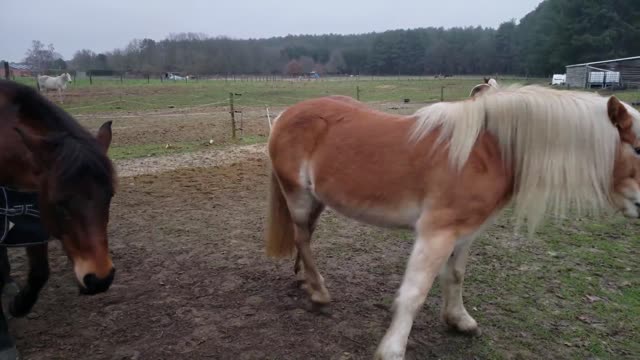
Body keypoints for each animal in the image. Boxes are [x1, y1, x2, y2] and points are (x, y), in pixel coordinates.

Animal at [0, 79, 116, 360]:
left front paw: (18, 305)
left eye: (110, 195)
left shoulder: (31, 215)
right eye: (59, 202)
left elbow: (40, 272)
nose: (99, 279)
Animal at [264, 86, 640, 358]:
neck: (487, 152)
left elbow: (455, 276)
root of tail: (286, 114)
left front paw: (459, 320)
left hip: (318, 201)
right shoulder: (437, 233)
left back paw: (306, 281)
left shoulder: (465, 232)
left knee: (306, 237)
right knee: (302, 238)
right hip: (298, 197)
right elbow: (415, 291)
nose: (639, 204)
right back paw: (319, 292)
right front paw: (392, 349)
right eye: (637, 149)